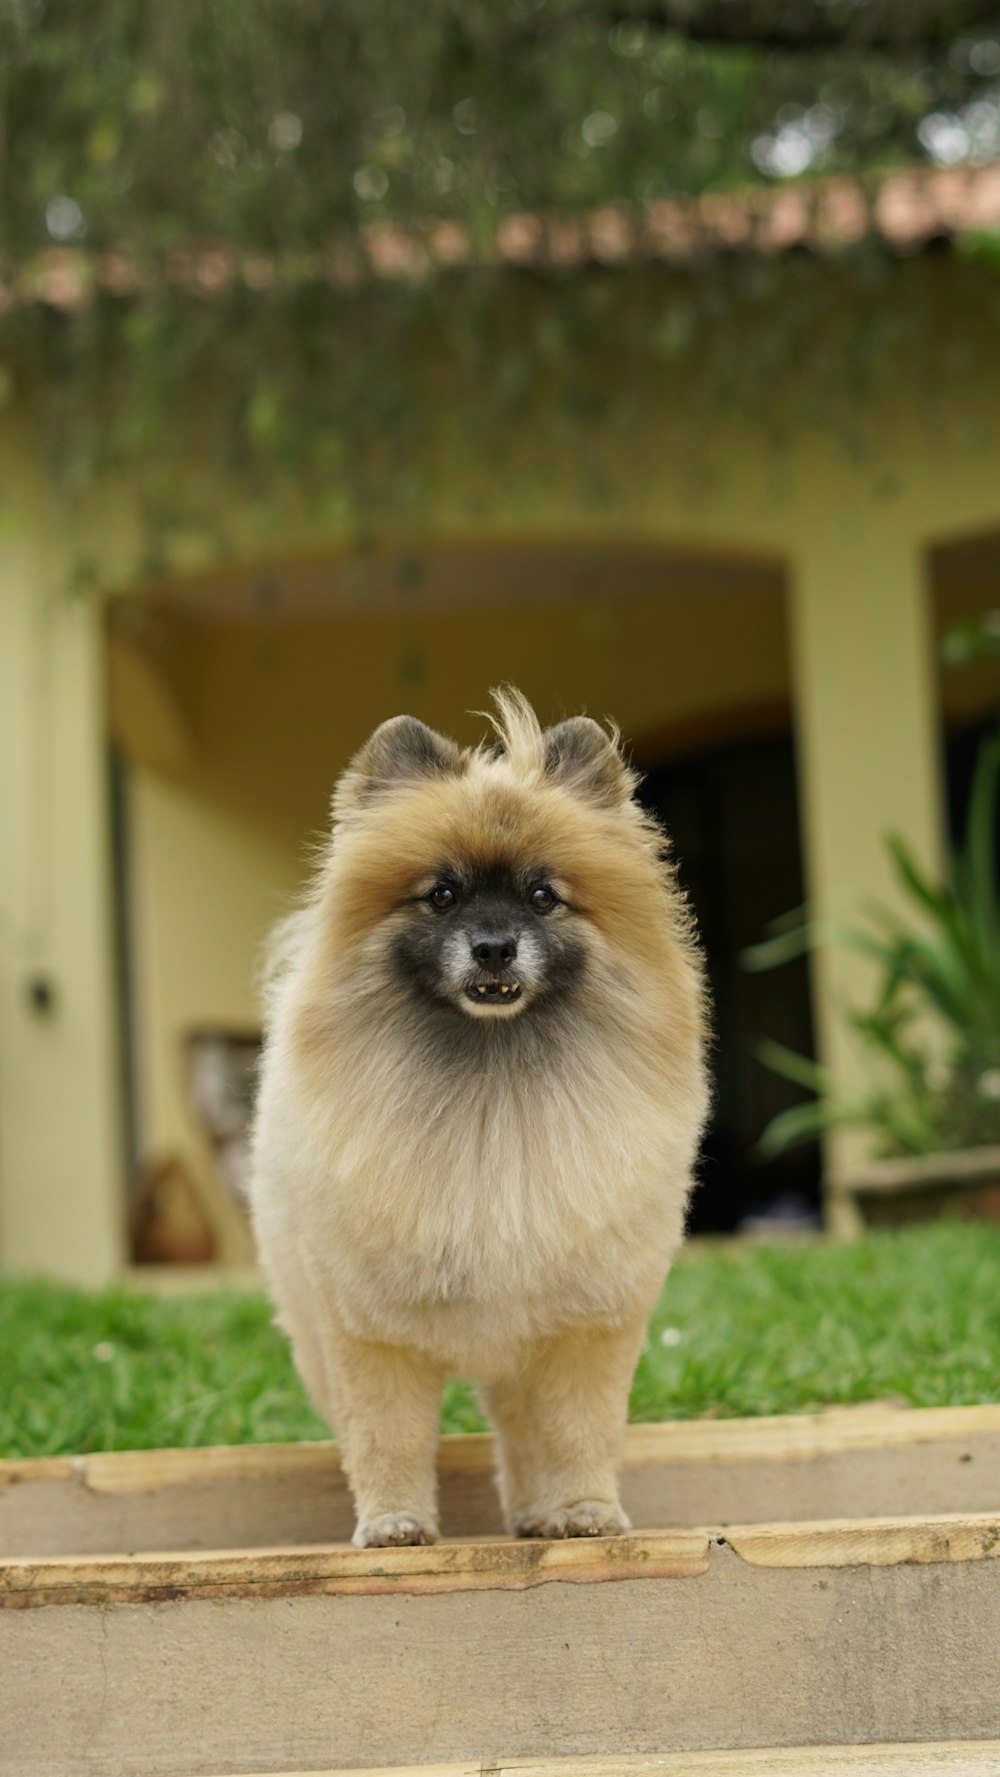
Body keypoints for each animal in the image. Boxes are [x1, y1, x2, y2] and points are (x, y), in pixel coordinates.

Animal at [253, 685, 717, 1549]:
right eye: (443, 894)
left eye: (542, 896)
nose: (495, 946)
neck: (492, 1094)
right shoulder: (371, 1331)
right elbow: (387, 1435)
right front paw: (395, 1522)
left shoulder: (583, 1328)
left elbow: (577, 1429)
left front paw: (584, 1510)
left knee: (519, 1428)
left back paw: (539, 1512)